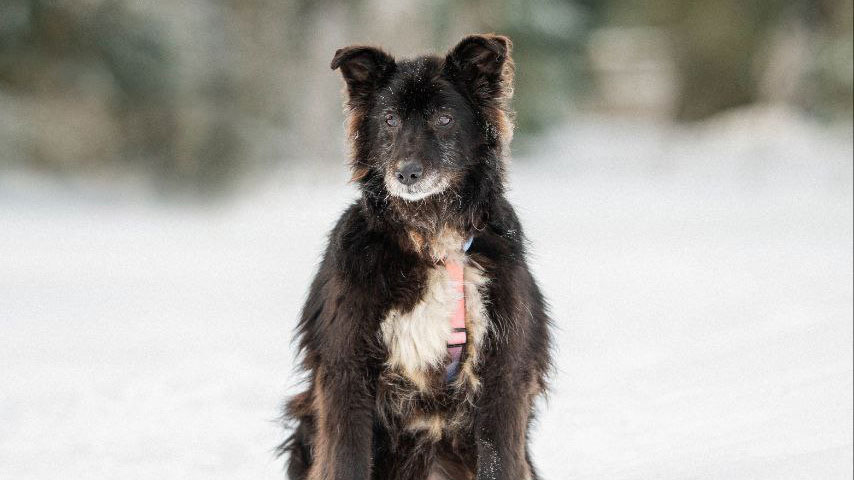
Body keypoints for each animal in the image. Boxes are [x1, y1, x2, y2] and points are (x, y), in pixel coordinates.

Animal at [280, 34, 552, 480]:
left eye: (443, 119)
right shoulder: (346, 369)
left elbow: (498, 459)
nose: (406, 173)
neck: (430, 237)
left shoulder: (504, 374)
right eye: (390, 119)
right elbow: (347, 457)